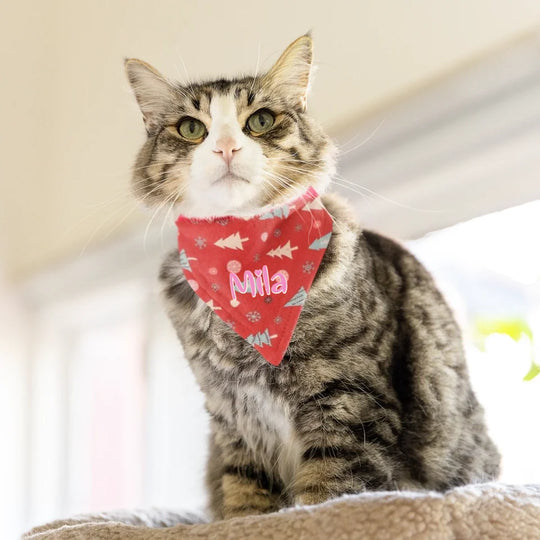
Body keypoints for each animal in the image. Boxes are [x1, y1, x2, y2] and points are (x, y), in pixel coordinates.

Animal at [124, 33, 500, 520]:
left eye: (260, 121)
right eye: (191, 128)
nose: (226, 147)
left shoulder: (349, 399)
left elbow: (327, 488)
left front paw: (304, 517)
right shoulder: (233, 417)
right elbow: (244, 491)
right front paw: (247, 523)